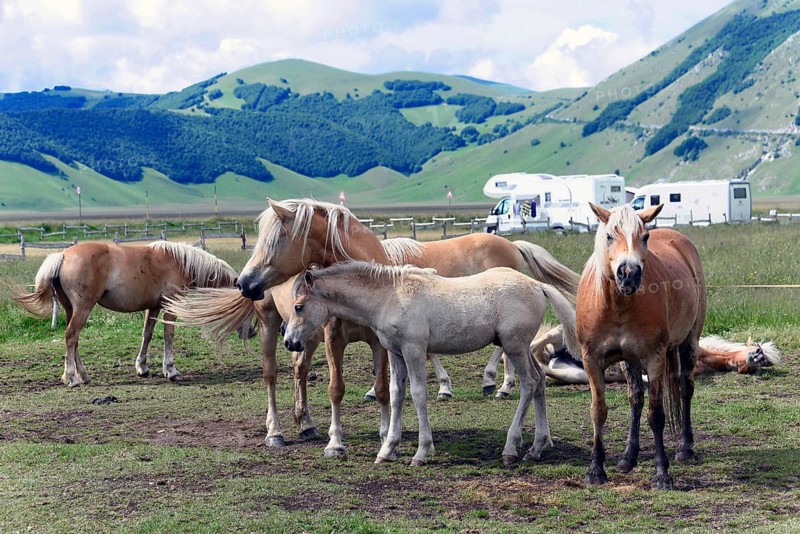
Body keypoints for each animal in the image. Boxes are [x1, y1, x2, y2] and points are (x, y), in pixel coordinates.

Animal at [11, 241, 238, 387]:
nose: (247, 331)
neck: (179, 261)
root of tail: (63, 255)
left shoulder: (153, 307)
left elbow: (147, 334)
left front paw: (142, 368)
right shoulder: (170, 305)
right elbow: (169, 335)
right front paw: (171, 370)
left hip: (70, 309)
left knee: (74, 340)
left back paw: (83, 375)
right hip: (83, 308)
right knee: (71, 336)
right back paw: (72, 378)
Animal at [283, 261, 582, 466]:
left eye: (298, 306)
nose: (289, 342)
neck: (390, 296)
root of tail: (537, 285)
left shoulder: (414, 350)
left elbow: (418, 395)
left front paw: (421, 452)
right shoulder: (396, 353)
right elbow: (396, 395)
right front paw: (387, 450)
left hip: (514, 346)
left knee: (529, 383)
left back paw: (511, 448)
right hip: (521, 347)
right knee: (540, 381)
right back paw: (537, 447)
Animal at [577, 203, 706, 490]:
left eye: (644, 236)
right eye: (609, 236)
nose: (629, 273)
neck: (616, 305)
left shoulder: (654, 359)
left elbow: (656, 415)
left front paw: (662, 473)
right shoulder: (591, 361)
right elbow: (598, 411)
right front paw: (595, 470)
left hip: (689, 342)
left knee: (685, 388)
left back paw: (685, 448)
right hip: (630, 360)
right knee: (635, 398)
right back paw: (628, 457)